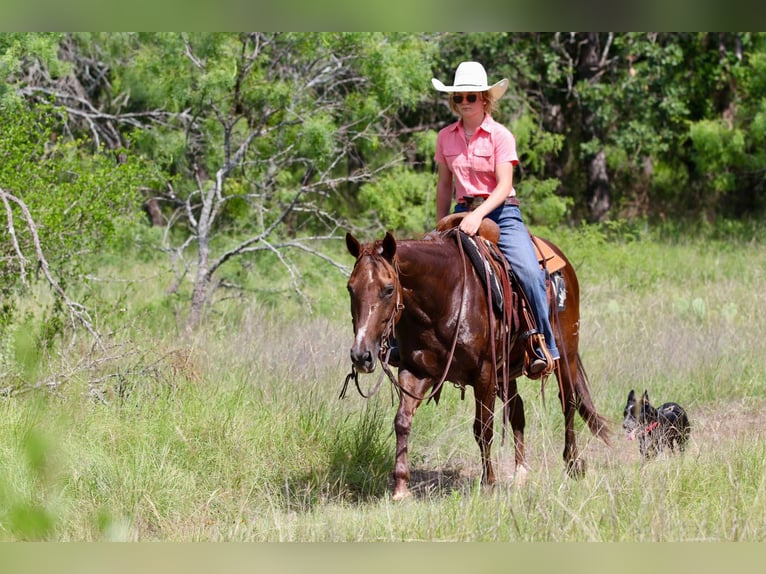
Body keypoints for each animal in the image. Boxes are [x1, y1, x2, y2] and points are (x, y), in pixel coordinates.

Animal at [344, 225, 610, 500]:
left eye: (388, 289)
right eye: (350, 288)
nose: (361, 355)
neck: (446, 298)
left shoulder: (484, 374)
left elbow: (483, 429)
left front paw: (489, 483)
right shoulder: (415, 372)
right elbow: (402, 422)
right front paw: (400, 487)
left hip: (565, 354)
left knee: (568, 403)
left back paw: (573, 464)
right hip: (506, 373)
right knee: (518, 411)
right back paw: (521, 473)